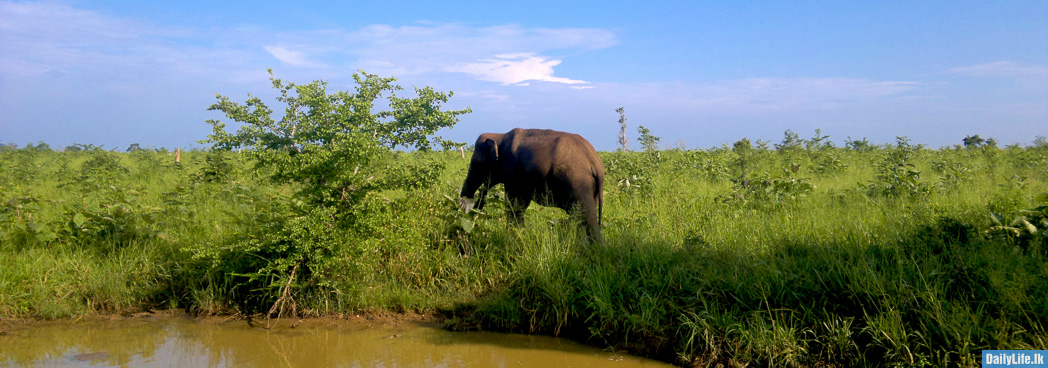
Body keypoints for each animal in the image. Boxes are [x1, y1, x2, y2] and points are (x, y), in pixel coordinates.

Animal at [459, 128, 607, 243]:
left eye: (475, 164)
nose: (470, 209)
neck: (499, 135)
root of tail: (596, 164)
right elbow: (520, 205)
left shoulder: (513, 173)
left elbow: (514, 204)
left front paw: (513, 237)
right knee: (580, 218)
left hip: (579, 183)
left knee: (587, 217)